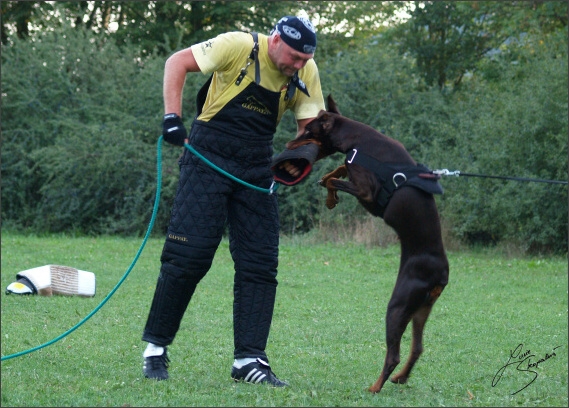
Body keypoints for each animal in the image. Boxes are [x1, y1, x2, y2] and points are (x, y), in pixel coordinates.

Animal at [288, 94, 448, 394]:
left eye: (307, 131)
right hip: (421, 308)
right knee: (418, 347)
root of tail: (441, 275)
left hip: (398, 304)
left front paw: (330, 194)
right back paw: (400, 379)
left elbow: (336, 180)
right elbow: (337, 171)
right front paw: (329, 184)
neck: (357, 139)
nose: (287, 145)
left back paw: (375, 387)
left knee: (393, 354)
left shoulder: (367, 194)